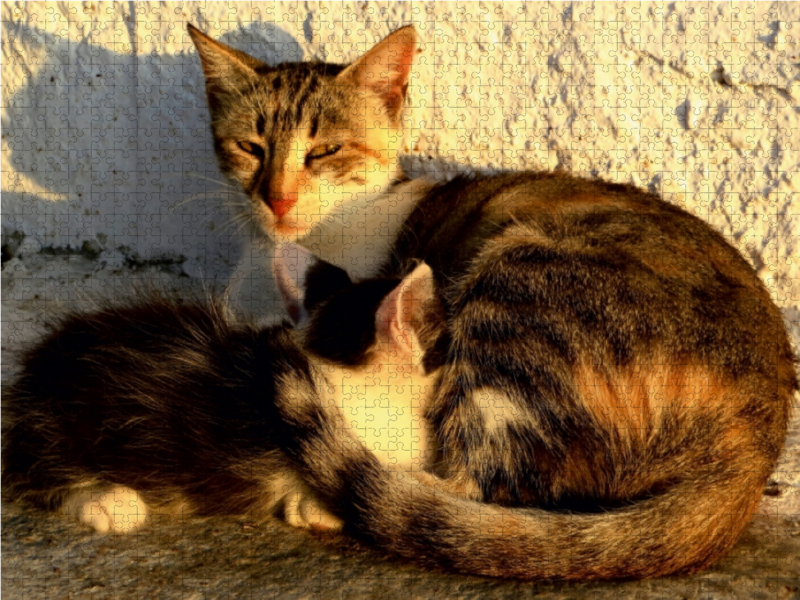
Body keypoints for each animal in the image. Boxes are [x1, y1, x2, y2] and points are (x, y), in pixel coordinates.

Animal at [189, 24, 800, 580]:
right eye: (250, 147)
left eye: (324, 151)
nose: (277, 198)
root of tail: (760, 436)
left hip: (517, 284)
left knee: (483, 486)